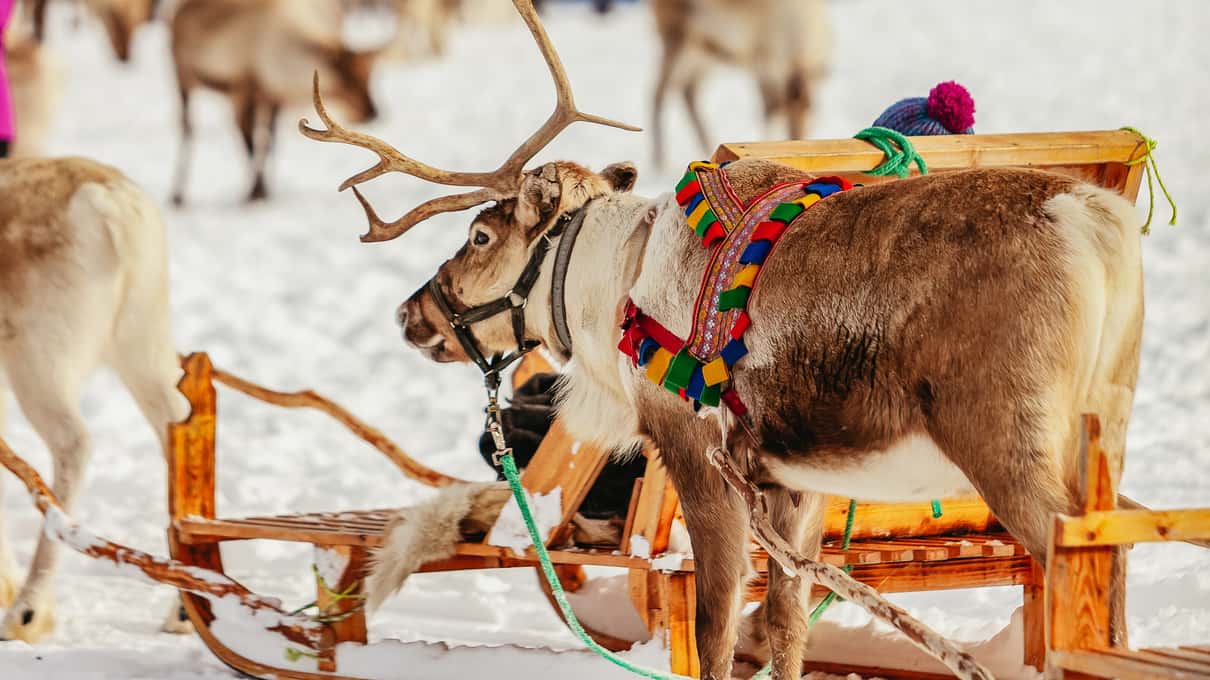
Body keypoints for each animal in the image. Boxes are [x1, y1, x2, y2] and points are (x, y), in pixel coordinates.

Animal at [0, 156, 190, 642]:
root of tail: (109, 202)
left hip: (40, 362)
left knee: (73, 446)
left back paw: (28, 610)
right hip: (144, 344)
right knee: (181, 430)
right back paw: (184, 610)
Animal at [170, 0, 381, 205]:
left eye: (368, 76)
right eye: (346, 78)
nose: (373, 112)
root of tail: (178, 11)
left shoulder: (272, 98)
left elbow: (269, 143)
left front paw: (265, 189)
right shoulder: (243, 89)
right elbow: (250, 144)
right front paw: (254, 192)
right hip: (182, 75)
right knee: (187, 128)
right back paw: (177, 194)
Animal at [650, 0, 831, 167]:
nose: (797, 140)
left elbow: (774, 109)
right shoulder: (765, 66)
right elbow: (770, 110)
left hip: (703, 54)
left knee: (687, 91)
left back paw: (706, 146)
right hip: (679, 43)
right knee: (658, 93)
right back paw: (660, 163)